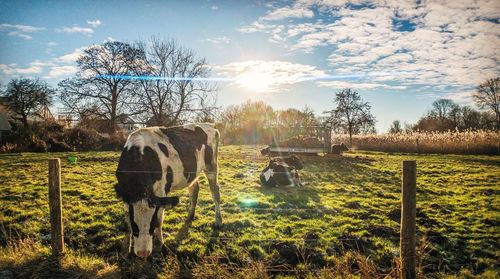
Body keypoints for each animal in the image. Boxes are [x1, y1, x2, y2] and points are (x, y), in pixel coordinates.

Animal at [116, 123, 222, 260]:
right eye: (135, 225)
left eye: (152, 223)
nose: (143, 253)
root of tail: (210, 125)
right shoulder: (126, 195)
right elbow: (126, 219)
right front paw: (126, 248)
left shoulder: (161, 193)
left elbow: (159, 220)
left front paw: (159, 245)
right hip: (192, 173)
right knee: (194, 189)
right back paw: (190, 216)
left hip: (212, 166)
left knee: (215, 192)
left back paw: (218, 220)